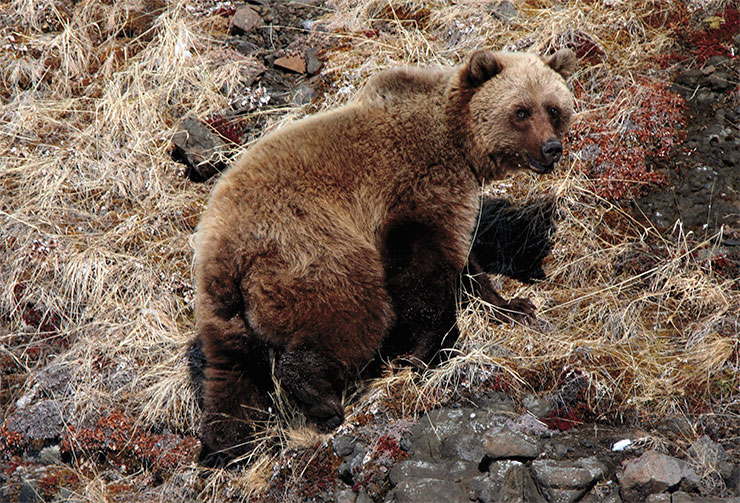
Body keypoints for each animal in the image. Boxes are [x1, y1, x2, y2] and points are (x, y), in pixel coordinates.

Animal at [194, 48, 576, 464]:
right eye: (521, 111)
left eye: (554, 109)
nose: (551, 148)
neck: (457, 142)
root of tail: (226, 248)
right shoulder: (415, 186)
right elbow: (425, 272)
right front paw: (423, 353)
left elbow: (465, 266)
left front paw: (514, 306)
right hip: (310, 246)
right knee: (354, 312)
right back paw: (322, 400)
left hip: (224, 308)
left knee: (231, 370)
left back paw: (229, 442)